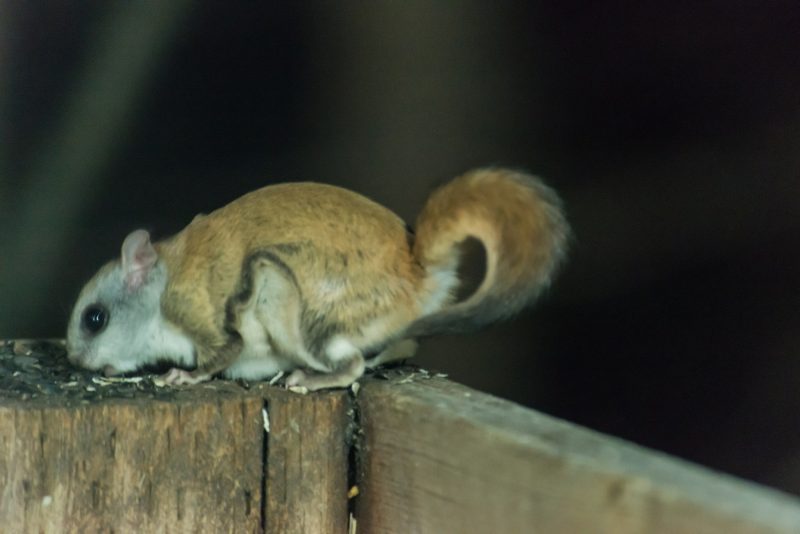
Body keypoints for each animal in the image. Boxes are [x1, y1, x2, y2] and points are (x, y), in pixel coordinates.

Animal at [66, 168, 570, 390]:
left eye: (95, 318)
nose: (76, 360)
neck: (162, 285)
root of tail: (415, 267)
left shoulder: (196, 310)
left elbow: (222, 351)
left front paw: (184, 377)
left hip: (287, 295)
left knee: (353, 365)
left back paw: (309, 380)